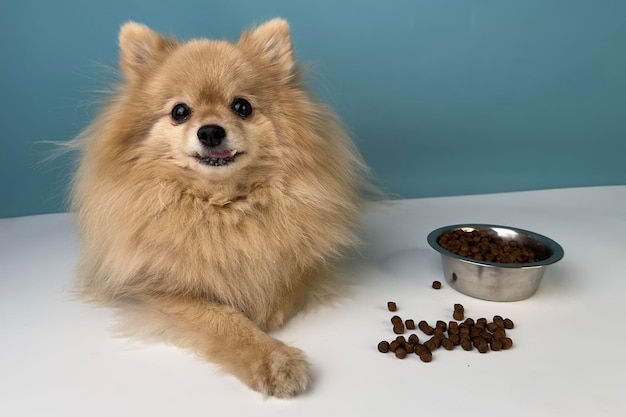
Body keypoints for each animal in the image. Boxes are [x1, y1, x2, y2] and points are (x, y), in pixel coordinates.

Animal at [71, 18, 368, 396]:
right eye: (179, 112)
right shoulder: (158, 289)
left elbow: (288, 274)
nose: (211, 131)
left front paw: (267, 305)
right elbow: (224, 320)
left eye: (242, 106)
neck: (222, 205)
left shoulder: (307, 258)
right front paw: (274, 358)